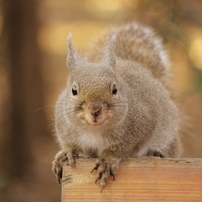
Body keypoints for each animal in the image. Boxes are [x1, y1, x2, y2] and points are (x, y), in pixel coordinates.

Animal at [51, 22, 183, 193]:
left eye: (114, 89)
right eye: (74, 90)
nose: (95, 109)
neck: (94, 129)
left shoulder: (143, 124)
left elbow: (125, 148)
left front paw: (108, 160)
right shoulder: (63, 124)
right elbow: (68, 142)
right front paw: (67, 152)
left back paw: (155, 152)